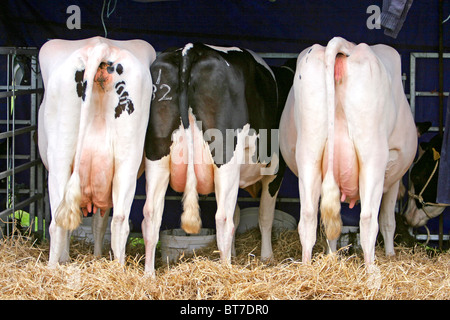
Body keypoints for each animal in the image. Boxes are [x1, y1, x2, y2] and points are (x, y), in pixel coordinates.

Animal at [38, 36, 155, 268]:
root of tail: (100, 45)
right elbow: (99, 223)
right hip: (127, 159)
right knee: (119, 220)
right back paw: (118, 269)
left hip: (59, 158)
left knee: (57, 221)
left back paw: (52, 268)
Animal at [142, 43, 286, 276]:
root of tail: (190, 48)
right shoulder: (275, 172)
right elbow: (264, 217)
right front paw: (267, 257)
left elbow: (238, 213)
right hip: (226, 159)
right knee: (223, 218)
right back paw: (226, 271)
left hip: (156, 154)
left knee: (151, 213)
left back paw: (149, 275)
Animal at [280, 37, 416, 266]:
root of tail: (346, 45)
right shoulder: (394, 179)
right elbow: (388, 221)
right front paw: (390, 255)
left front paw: (331, 256)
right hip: (373, 156)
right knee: (368, 218)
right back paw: (371, 271)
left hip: (309, 151)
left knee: (309, 216)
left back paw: (306, 268)